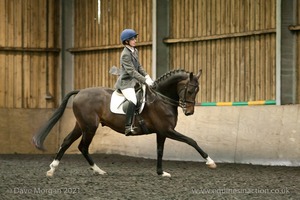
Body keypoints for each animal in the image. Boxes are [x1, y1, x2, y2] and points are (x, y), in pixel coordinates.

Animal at [32, 69, 216, 178]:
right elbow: (192, 141)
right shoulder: (167, 130)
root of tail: (80, 92)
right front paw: (210, 162)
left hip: (81, 126)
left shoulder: (162, 132)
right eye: (190, 90)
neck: (161, 99)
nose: (189, 112)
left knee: (67, 142)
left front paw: (160, 172)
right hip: (89, 127)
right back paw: (97, 170)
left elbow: (160, 151)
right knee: (82, 146)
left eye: (197, 90)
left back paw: (53, 169)